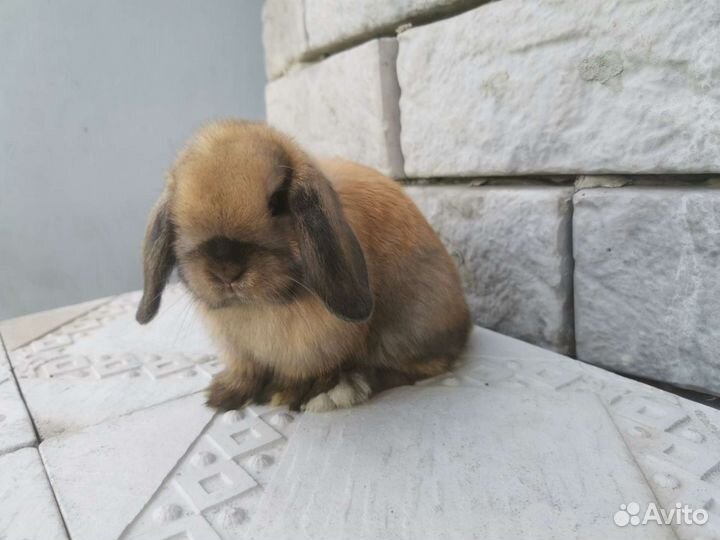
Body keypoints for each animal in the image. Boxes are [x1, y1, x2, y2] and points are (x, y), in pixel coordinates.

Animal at [136, 120, 471, 412]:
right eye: (178, 213)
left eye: (277, 202)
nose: (226, 270)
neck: (257, 308)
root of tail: (464, 326)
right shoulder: (239, 351)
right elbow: (246, 371)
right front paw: (223, 396)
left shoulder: (312, 349)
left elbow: (300, 373)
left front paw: (284, 393)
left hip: (404, 333)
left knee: (412, 368)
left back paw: (342, 390)